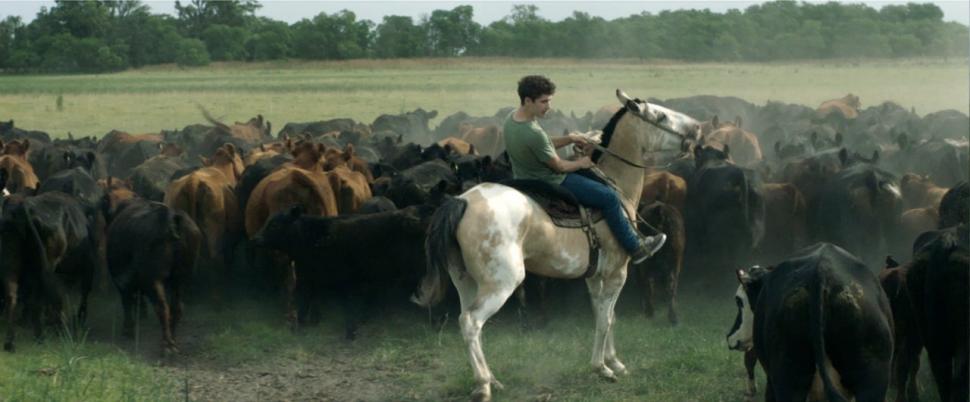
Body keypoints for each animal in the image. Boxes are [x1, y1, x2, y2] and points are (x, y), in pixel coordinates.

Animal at [1, 192, 99, 352]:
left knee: (12, 296)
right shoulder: (88, 267)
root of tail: (25, 205)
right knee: (38, 300)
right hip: (45, 268)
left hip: (12, 261)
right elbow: (81, 294)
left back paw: (10, 343)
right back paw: (41, 336)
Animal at [105, 199, 201, 354]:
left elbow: (127, 301)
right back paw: (173, 340)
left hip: (153, 279)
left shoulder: (120, 280)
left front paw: (128, 330)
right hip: (182, 278)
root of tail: (171, 218)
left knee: (161, 306)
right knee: (177, 307)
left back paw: (166, 345)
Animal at [251, 204, 432, 340]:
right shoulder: (313, 276)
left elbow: (346, 304)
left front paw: (350, 332)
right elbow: (307, 301)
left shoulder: (341, 279)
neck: (311, 239)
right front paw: (303, 325)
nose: (255, 239)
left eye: (275, 224)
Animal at [408, 89, 696, 400]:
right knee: (471, 322)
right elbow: (606, 319)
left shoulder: (595, 277)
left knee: (469, 322)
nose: (696, 130)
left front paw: (613, 362)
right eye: (661, 116)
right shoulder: (617, 273)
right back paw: (484, 385)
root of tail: (461, 202)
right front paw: (603, 368)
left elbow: (605, 316)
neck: (616, 185)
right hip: (502, 283)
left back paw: (491, 379)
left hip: (465, 280)